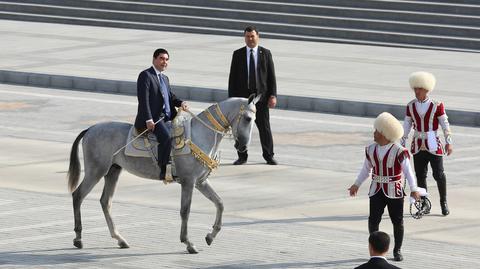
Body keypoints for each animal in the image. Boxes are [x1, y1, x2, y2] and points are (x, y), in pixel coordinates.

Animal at [67, 95, 258, 252]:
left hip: (113, 171)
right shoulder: (188, 182)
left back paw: (120, 239)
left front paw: (210, 236)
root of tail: (90, 129)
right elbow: (185, 210)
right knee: (78, 196)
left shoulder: (201, 182)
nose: (243, 147)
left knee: (105, 202)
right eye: (248, 118)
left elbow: (220, 203)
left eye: (255, 120)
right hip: (96, 171)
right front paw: (188, 243)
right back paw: (78, 238)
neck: (200, 135)